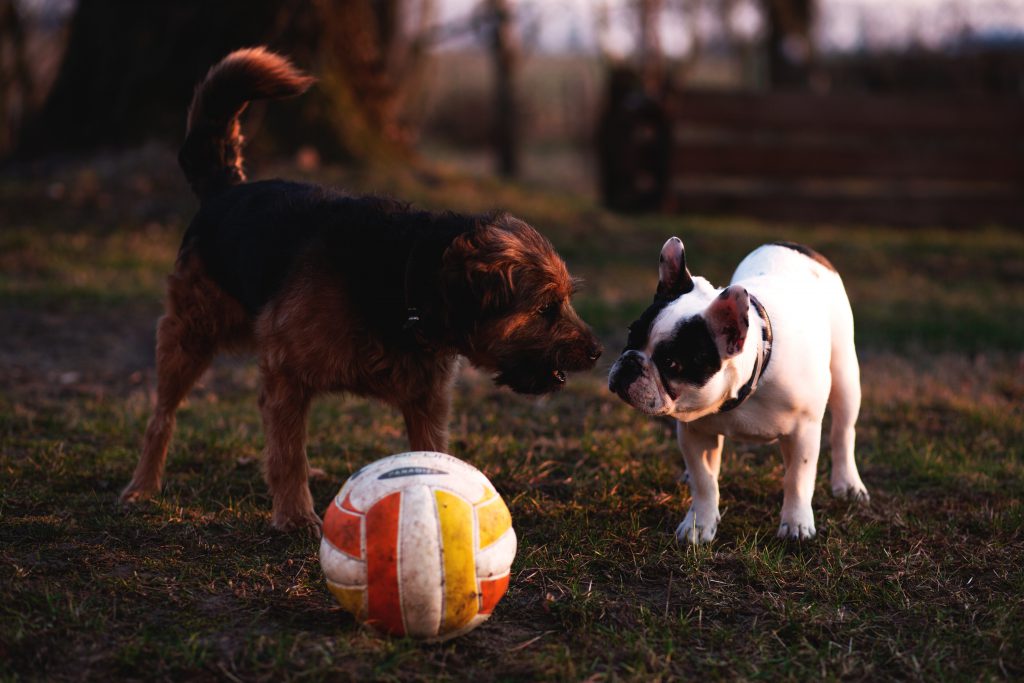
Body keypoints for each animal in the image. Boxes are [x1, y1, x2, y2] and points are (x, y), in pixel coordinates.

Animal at [119, 48, 598, 532]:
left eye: (565, 300)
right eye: (545, 308)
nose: (597, 353)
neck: (405, 274)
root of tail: (225, 188)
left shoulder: (427, 402)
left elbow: (429, 455)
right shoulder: (285, 374)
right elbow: (286, 453)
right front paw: (294, 515)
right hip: (187, 336)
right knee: (162, 418)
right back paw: (143, 486)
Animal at [610, 240, 868, 544]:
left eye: (671, 363)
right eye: (631, 334)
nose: (630, 363)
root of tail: (794, 245)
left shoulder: (804, 430)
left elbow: (797, 478)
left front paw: (796, 524)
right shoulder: (694, 431)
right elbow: (704, 480)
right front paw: (700, 524)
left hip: (845, 376)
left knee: (843, 432)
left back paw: (847, 483)